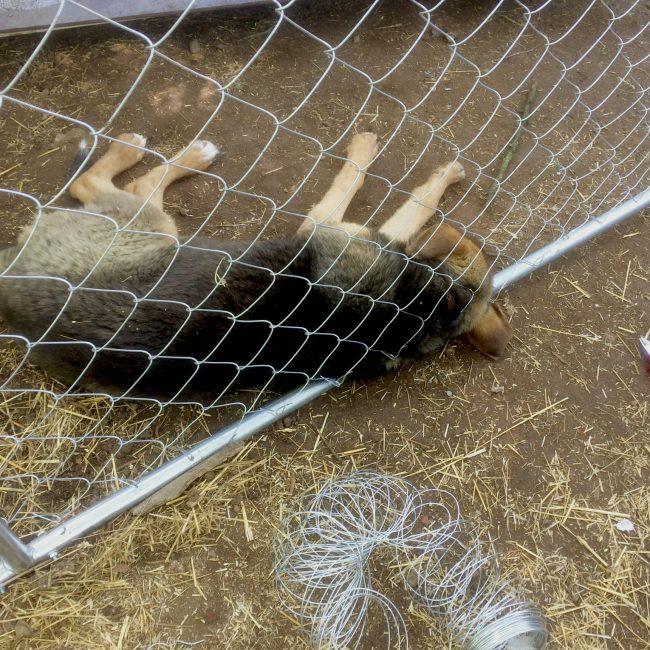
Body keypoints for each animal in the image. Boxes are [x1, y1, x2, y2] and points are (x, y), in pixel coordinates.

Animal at [0, 132, 512, 403]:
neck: (420, 310)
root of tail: (13, 280)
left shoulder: (328, 226)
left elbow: (396, 193)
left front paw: (416, 169)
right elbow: (395, 194)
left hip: (149, 228)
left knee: (103, 182)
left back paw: (154, 151)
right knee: (103, 182)